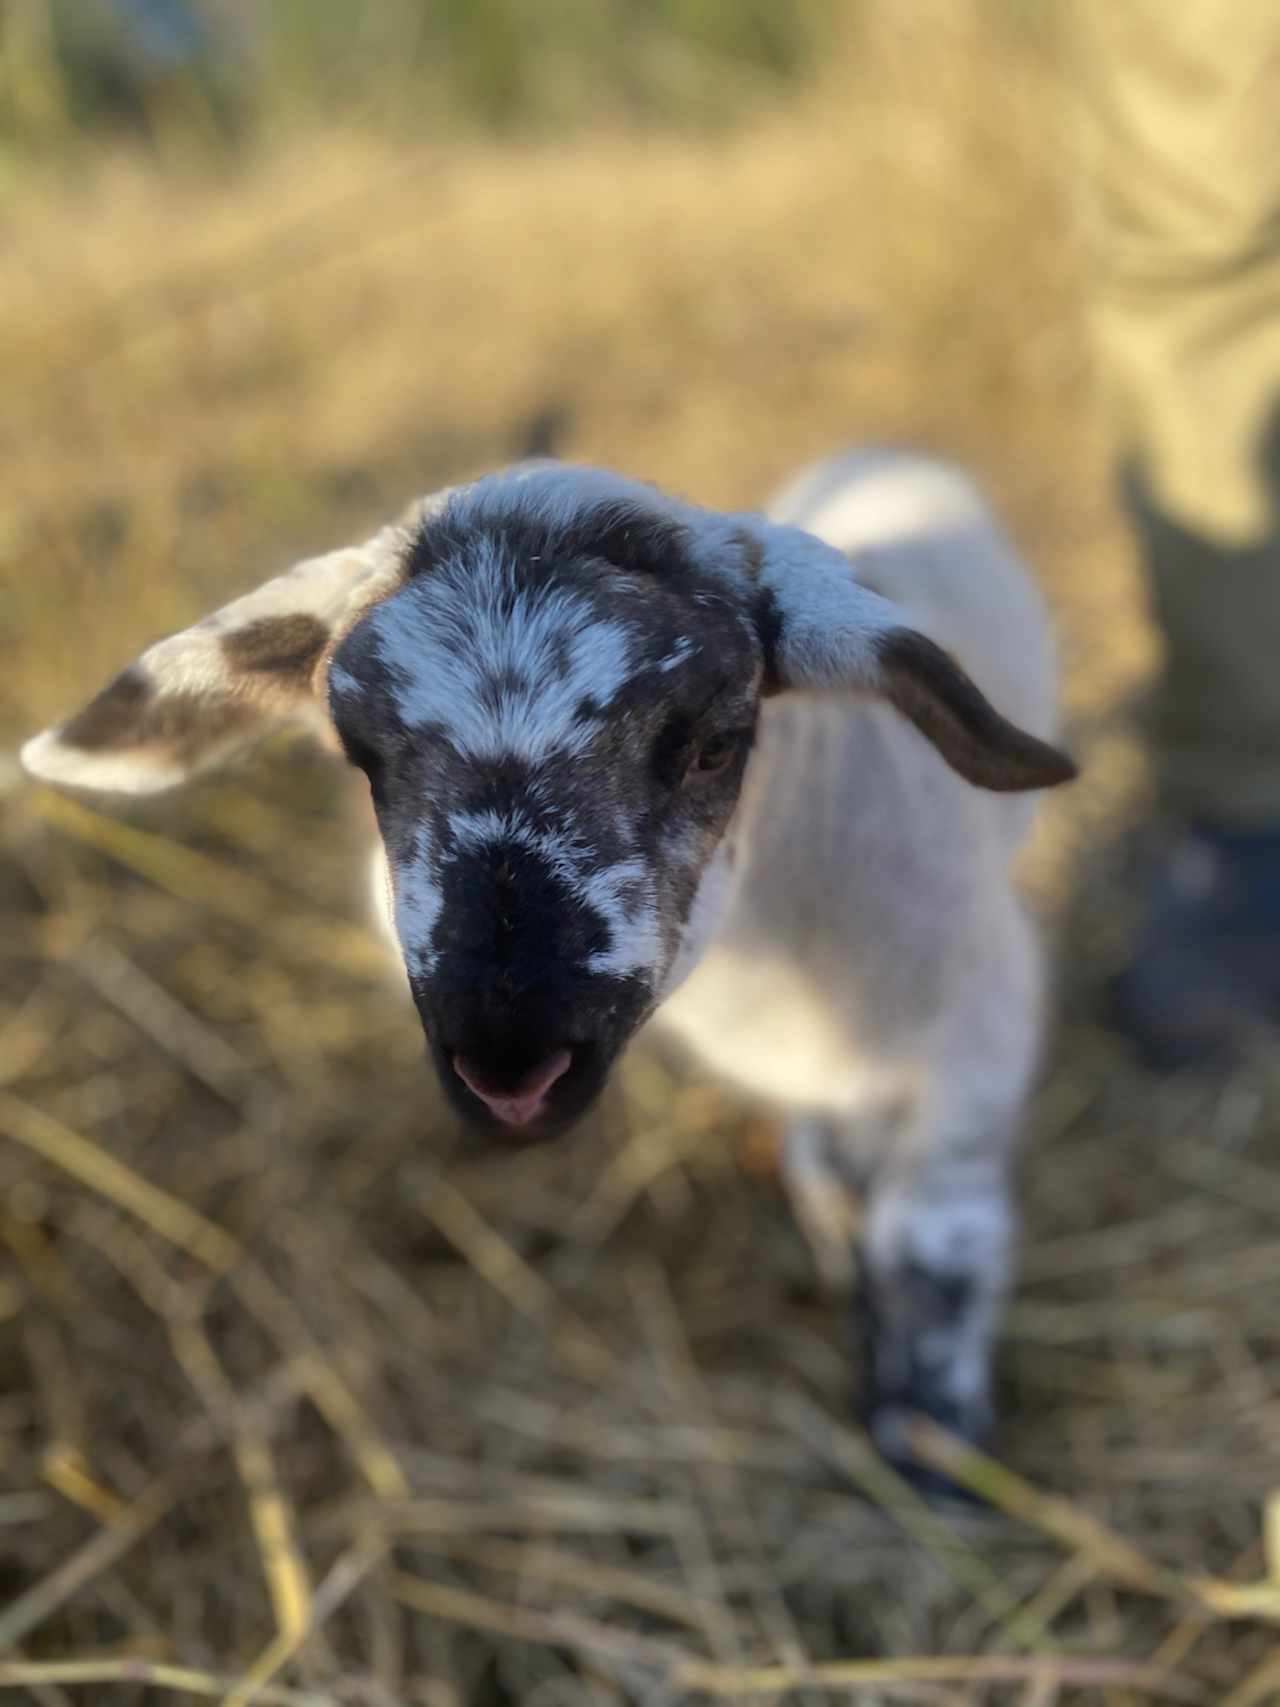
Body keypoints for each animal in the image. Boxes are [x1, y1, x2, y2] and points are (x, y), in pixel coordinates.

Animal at [25, 450, 1078, 1468]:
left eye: (715, 744)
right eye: (361, 756)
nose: (509, 1063)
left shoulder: (976, 1046)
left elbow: (935, 1235)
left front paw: (933, 1439)